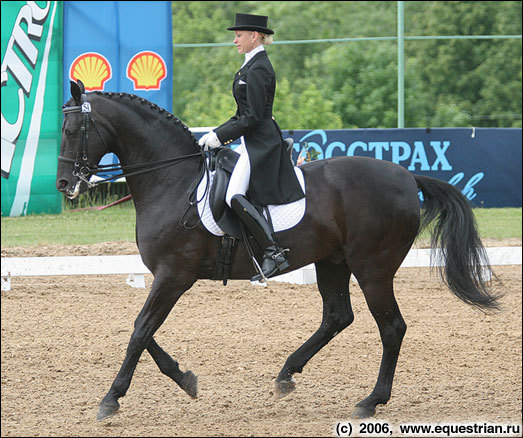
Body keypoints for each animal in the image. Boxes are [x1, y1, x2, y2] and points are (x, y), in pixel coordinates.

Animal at [56, 80, 500, 422]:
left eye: (74, 129)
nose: (64, 184)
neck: (173, 179)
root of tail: (407, 176)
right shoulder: (168, 276)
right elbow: (143, 329)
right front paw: (186, 380)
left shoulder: (174, 274)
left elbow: (139, 330)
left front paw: (110, 400)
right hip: (332, 262)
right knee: (337, 316)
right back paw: (287, 374)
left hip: (372, 269)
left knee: (391, 328)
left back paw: (370, 402)